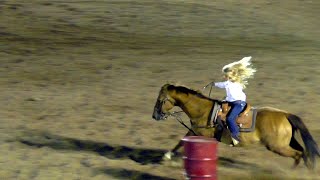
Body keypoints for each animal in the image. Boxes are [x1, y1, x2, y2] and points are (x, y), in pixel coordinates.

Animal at [152, 83, 320, 169]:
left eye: (160, 100)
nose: (155, 116)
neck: (204, 110)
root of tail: (285, 114)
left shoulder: (199, 133)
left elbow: (182, 142)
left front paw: (167, 157)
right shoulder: (194, 131)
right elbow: (181, 141)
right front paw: (167, 156)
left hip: (277, 146)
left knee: (298, 154)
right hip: (287, 142)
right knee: (303, 152)